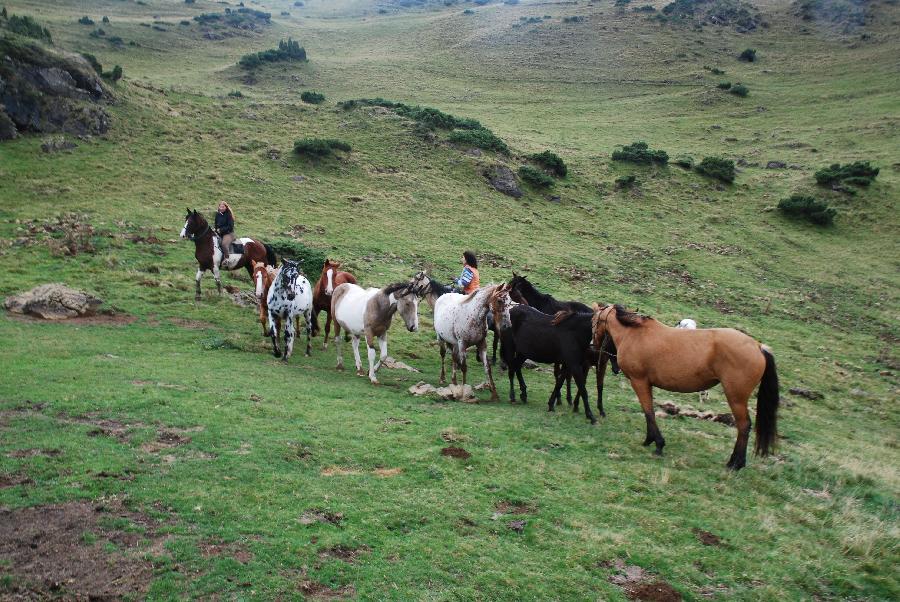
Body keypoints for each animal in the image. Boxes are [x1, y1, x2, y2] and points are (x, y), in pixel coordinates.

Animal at [488, 286, 600, 422]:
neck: (574, 332)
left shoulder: (568, 364)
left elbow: (560, 382)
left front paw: (553, 404)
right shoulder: (574, 365)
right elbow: (582, 389)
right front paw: (590, 415)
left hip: (523, 352)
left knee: (516, 367)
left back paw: (523, 394)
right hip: (510, 348)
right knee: (511, 370)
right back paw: (513, 395)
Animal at [596, 302, 776, 466]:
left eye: (595, 320)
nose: (593, 344)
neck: (634, 334)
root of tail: (758, 346)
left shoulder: (639, 381)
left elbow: (648, 412)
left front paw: (658, 444)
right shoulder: (647, 384)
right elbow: (649, 412)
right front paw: (650, 440)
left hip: (736, 398)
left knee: (744, 426)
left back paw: (735, 464)